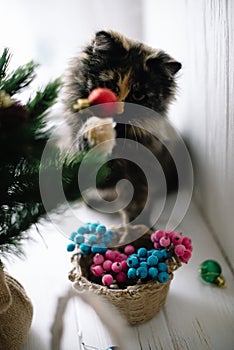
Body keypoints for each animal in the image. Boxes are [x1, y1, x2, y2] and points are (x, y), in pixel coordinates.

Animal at [60, 30, 181, 231]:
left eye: (138, 95)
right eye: (109, 86)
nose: (117, 111)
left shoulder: (142, 170)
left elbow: (138, 204)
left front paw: (140, 229)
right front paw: (96, 133)